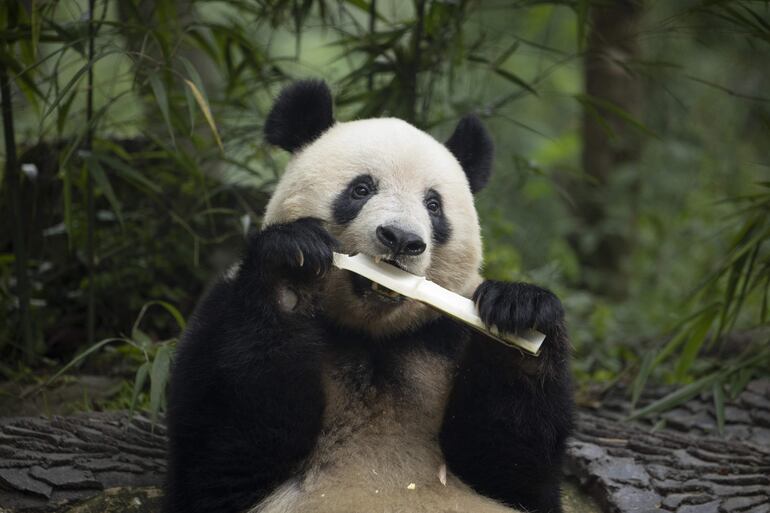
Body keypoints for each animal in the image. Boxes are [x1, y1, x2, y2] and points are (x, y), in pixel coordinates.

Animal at [165, 80, 572, 512]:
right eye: (361, 189)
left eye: (433, 204)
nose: (402, 239)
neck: (372, 334)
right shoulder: (221, 313)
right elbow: (223, 455)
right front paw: (292, 265)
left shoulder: (444, 336)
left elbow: (513, 466)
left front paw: (520, 316)